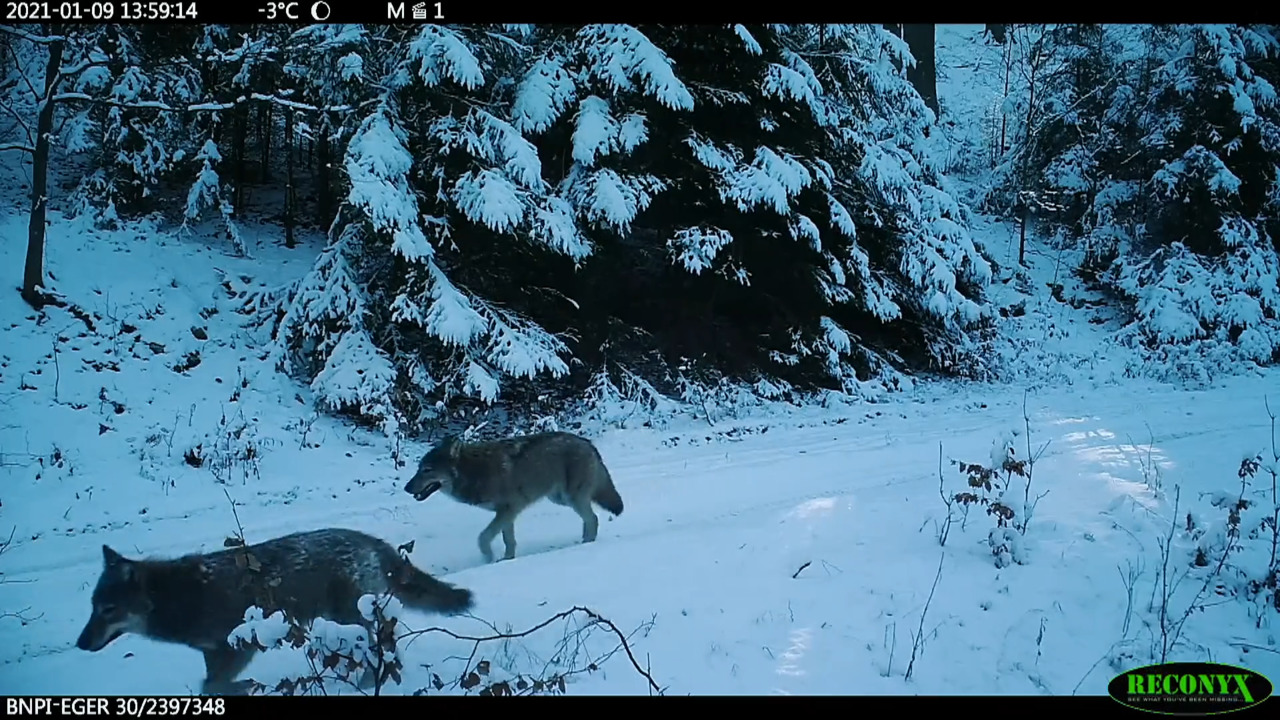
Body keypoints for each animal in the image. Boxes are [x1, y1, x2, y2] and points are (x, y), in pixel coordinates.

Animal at [71, 525, 471, 691]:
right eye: (93, 607)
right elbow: (209, 685)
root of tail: (371, 540)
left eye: (108, 610)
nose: (80, 643)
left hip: (349, 621)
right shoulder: (213, 654)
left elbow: (212, 686)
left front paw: (247, 687)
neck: (178, 596)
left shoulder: (237, 649)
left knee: (384, 650)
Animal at [404, 427, 624, 563]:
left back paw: (585, 546)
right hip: (561, 499)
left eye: (427, 470)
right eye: (419, 469)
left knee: (593, 518)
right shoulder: (507, 513)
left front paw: (489, 559)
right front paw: (505, 560)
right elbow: (508, 540)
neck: (473, 471)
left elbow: (483, 538)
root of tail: (588, 444)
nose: (406, 488)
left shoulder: (509, 508)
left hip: (572, 498)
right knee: (590, 519)